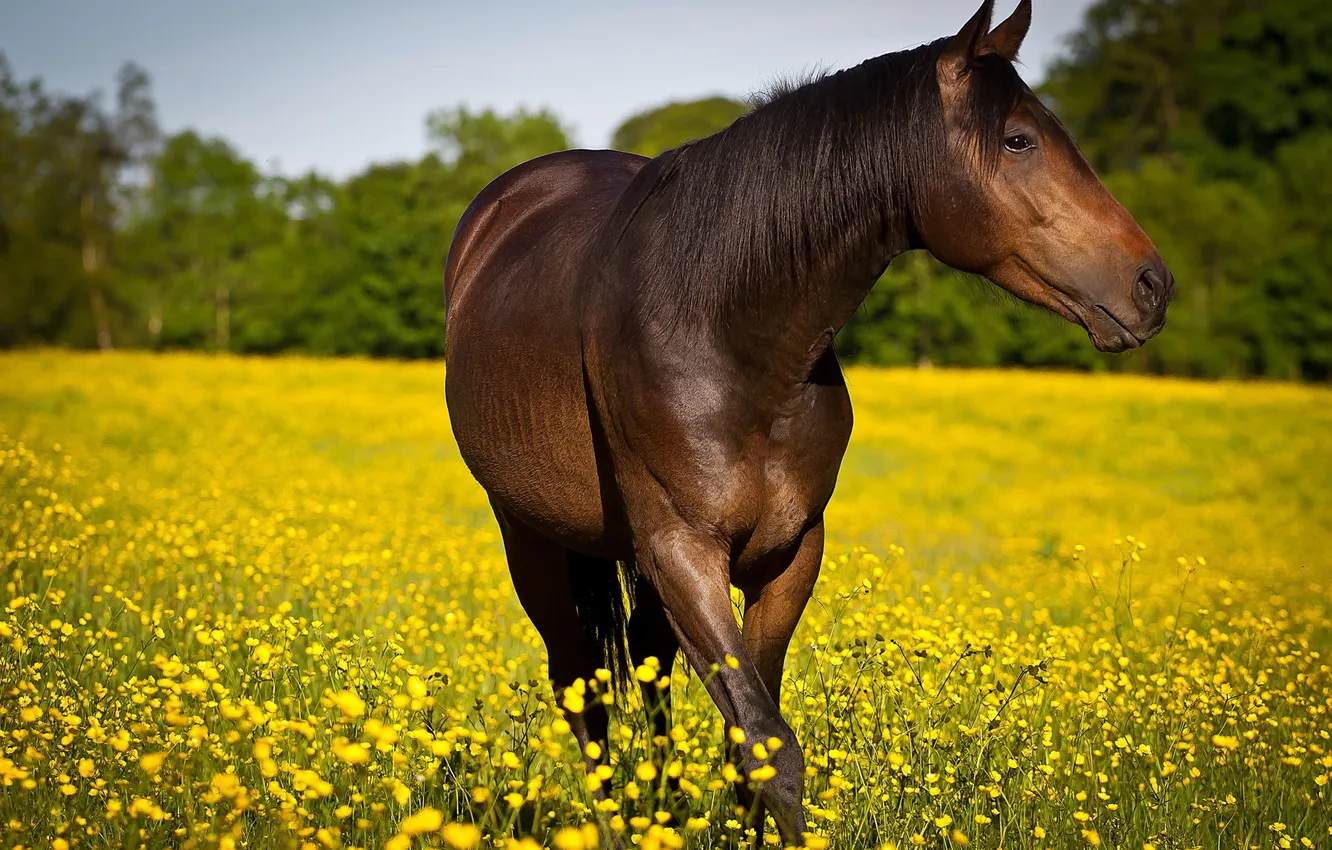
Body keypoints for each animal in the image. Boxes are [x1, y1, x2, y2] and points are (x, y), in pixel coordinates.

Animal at [442, 0, 1173, 843]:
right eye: (1019, 140)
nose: (1153, 285)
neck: (727, 331)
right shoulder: (683, 550)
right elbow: (767, 743)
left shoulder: (789, 552)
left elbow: (748, 743)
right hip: (532, 538)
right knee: (580, 684)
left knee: (650, 673)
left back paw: (658, 811)